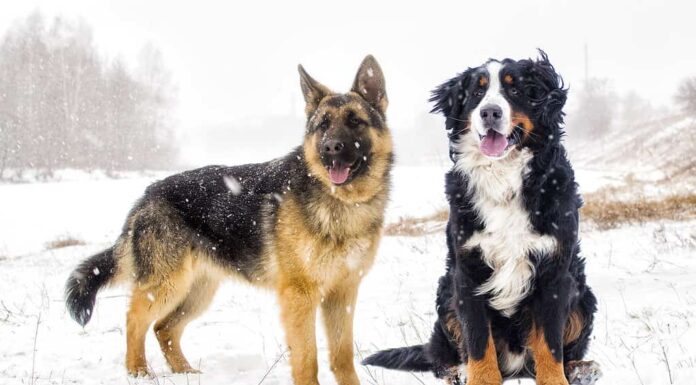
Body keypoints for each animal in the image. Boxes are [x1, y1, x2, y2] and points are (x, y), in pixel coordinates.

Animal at [66, 54, 394, 384]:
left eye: (355, 121)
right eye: (323, 125)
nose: (331, 148)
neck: (343, 202)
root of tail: (147, 195)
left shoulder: (343, 294)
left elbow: (342, 356)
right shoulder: (299, 296)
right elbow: (307, 360)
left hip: (199, 291)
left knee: (164, 328)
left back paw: (185, 371)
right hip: (166, 284)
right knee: (135, 319)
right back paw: (138, 371)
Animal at [362, 51, 600, 384]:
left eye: (515, 89)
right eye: (477, 92)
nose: (489, 112)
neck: (504, 179)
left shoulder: (555, 272)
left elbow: (550, 346)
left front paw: (556, 379)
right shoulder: (468, 271)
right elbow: (477, 342)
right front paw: (480, 377)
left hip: (582, 295)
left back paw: (580, 368)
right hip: (445, 296)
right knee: (440, 355)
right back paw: (458, 371)